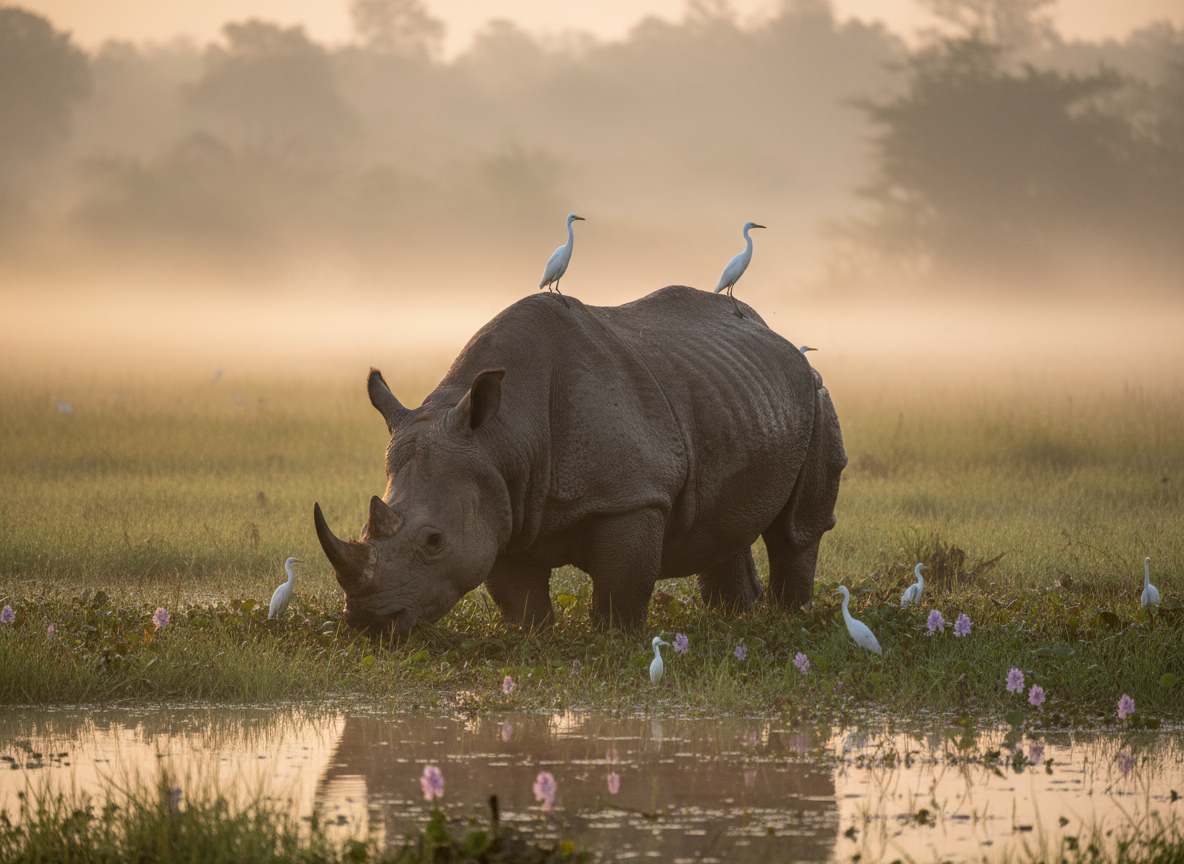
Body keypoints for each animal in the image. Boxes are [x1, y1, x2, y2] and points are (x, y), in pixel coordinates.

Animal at [313, 285, 846, 635]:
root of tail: (775, 335)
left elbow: (620, 588)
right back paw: (733, 620)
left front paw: (614, 642)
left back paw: (787, 619)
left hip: (816, 393)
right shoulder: (501, 499)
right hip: (730, 393)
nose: (368, 622)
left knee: (796, 529)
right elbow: (519, 598)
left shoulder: (632, 495)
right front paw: (534, 640)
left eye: (434, 540)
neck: (501, 435)